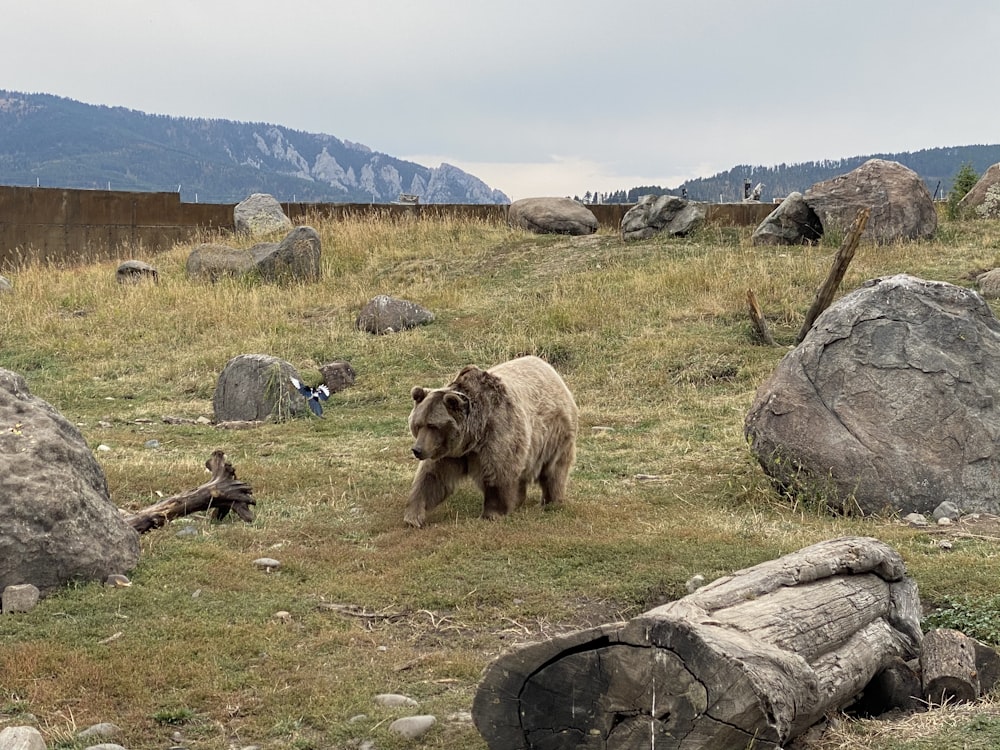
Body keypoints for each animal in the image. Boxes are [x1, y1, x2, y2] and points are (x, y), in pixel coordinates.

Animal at [404, 356, 580, 528]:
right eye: (418, 424)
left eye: (433, 425)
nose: (417, 450)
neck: (472, 437)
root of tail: (550, 370)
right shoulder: (448, 452)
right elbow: (432, 478)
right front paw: (413, 516)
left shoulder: (497, 432)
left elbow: (499, 473)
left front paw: (492, 513)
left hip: (553, 433)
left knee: (554, 469)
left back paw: (551, 501)